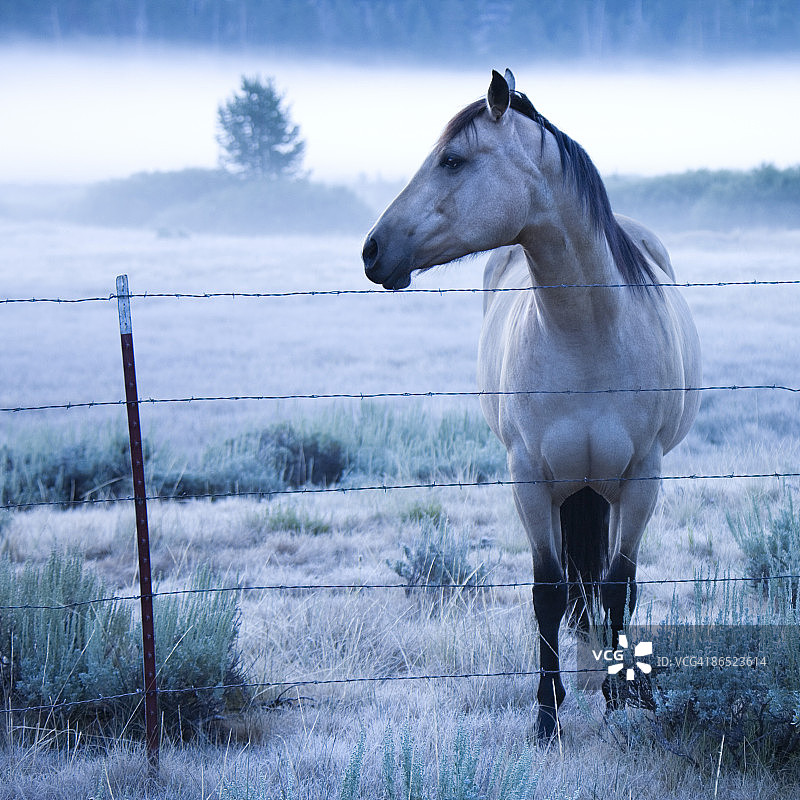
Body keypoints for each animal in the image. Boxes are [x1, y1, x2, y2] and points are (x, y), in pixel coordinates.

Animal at [362, 69, 701, 738]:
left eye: (452, 158)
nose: (372, 250)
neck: (589, 331)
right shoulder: (531, 478)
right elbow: (548, 592)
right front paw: (547, 716)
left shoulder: (641, 477)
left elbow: (619, 584)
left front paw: (626, 699)